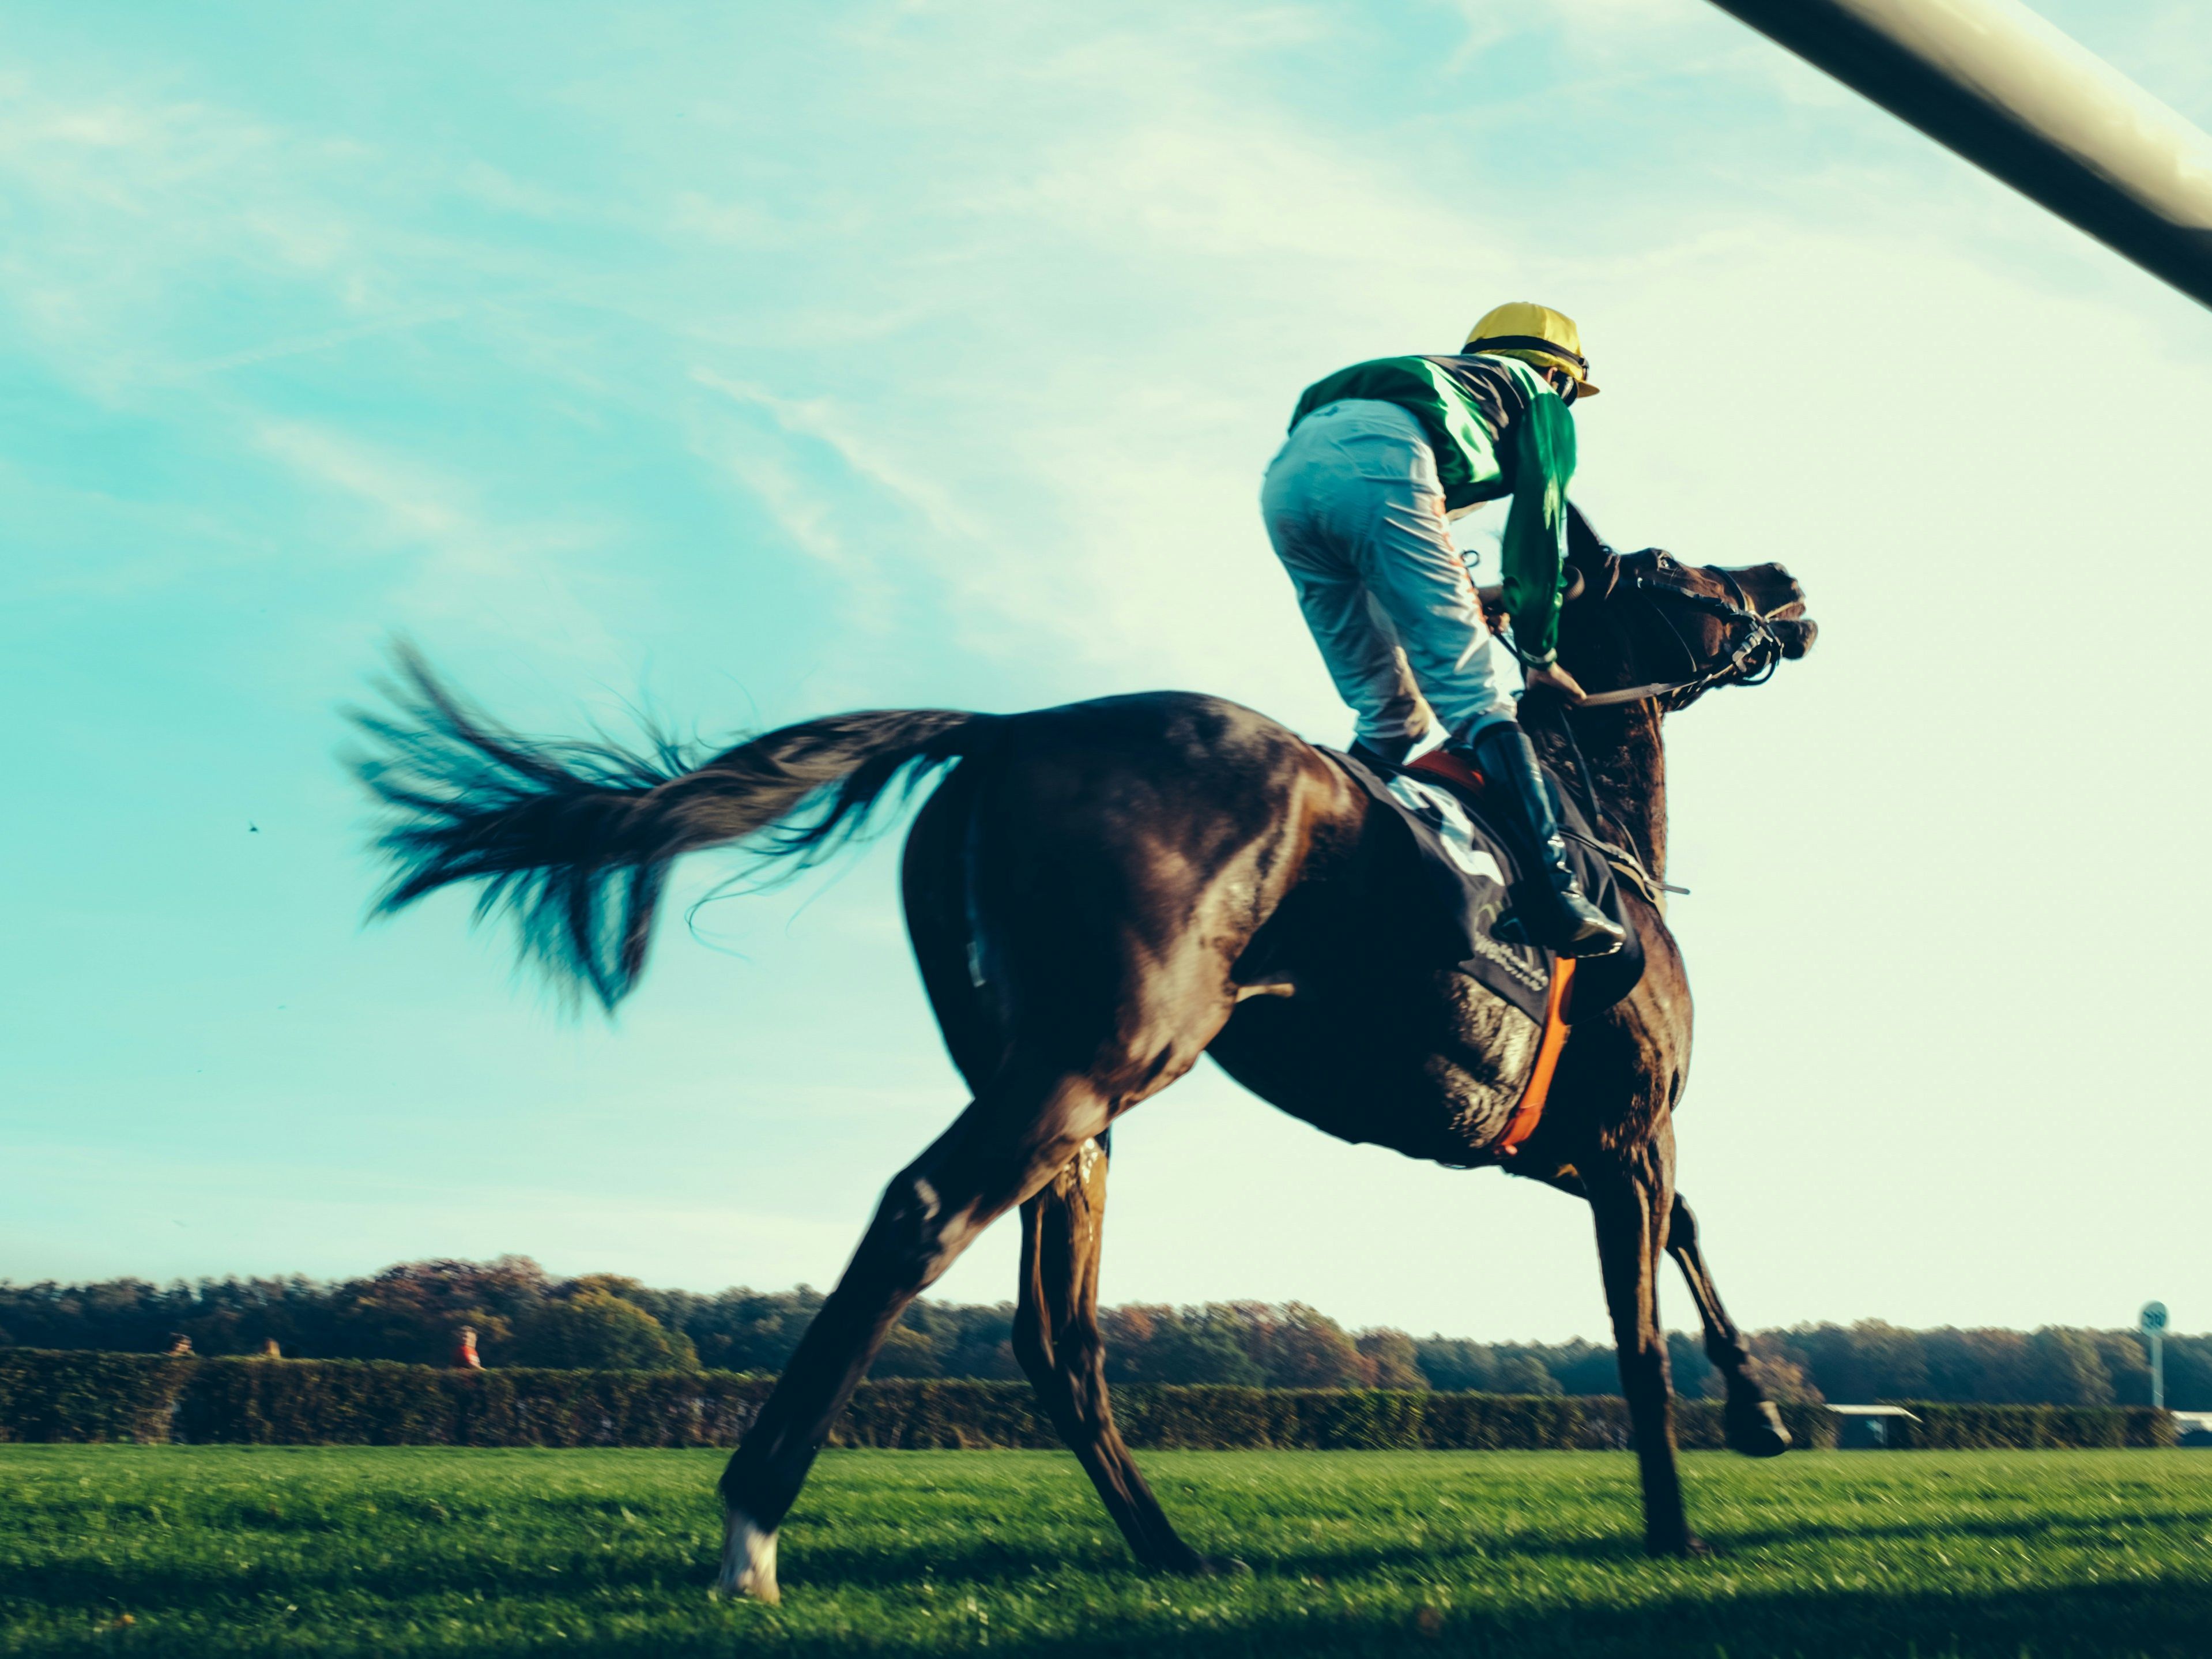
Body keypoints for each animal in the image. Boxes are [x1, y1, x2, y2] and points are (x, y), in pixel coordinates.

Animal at [351, 527, 1815, 1599]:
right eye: (1686, 574)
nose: (1787, 585)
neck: (1593, 834)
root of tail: (1002, 728)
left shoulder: (1551, 1148)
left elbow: (1684, 1236)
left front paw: (1762, 1411)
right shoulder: (1626, 1132)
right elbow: (1640, 1325)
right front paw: (1682, 1516)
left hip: (1067, 1093)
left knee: (1057, 1330)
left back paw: (1167, 1548)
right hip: (1100, 1059)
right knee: (922, 1219)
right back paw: (751, 1534)